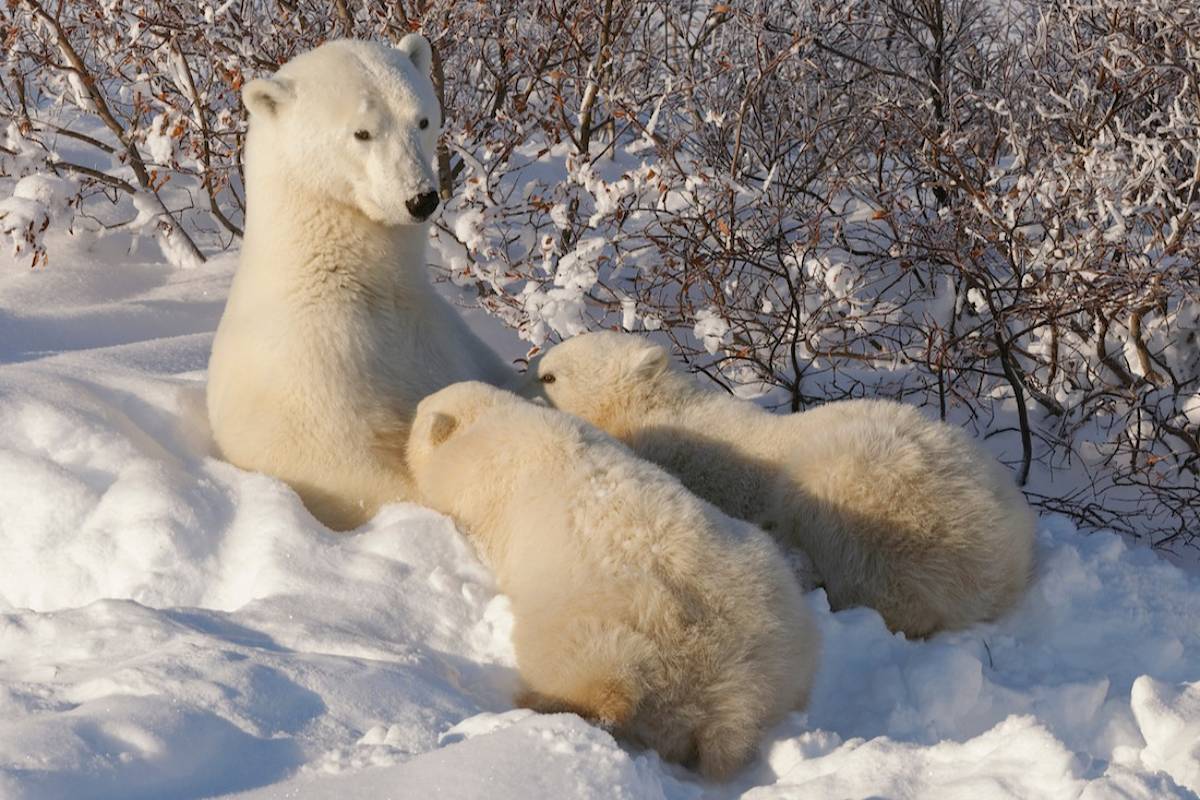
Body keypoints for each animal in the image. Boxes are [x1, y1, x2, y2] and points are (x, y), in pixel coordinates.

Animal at [206, 37, 511, 531]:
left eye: (421, 119)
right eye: (362, 133)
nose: (421, 198)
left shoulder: (440, 336)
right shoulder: (316, 371)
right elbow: (362, 472)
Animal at [406, 381, 821, 780]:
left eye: (419, 411)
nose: (415, 407)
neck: (495, 417)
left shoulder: (475, 483)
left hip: (586, 606)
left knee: (593, 667)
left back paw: (543, 702)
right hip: (778, 616)